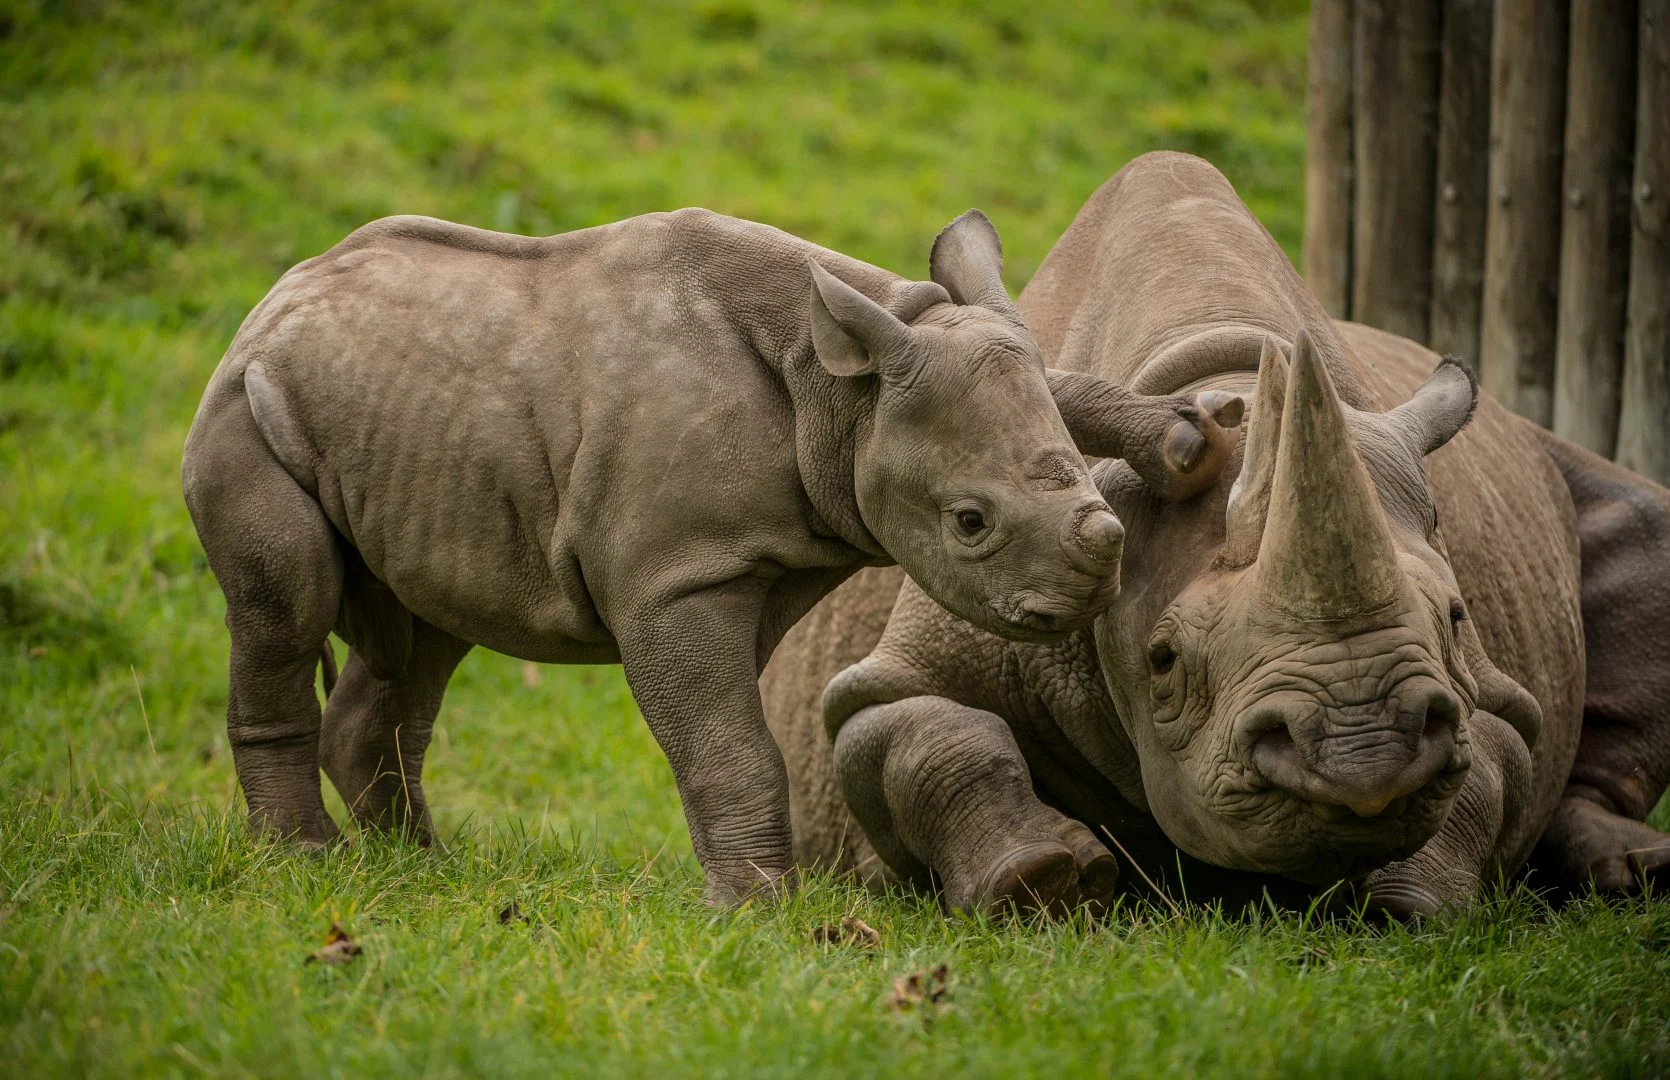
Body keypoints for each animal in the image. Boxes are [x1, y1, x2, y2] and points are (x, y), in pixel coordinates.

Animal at [182, 206, 1242, 901]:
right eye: (969, 523)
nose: (1092, 585)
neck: (838, 393)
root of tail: (272, 299)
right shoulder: (677, 576)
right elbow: (729, 744)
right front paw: (759, 911)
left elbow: (1055, 374)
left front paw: (1196, 442)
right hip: (245, 405)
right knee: (288, 602)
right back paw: (305, 862)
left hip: (406, 435)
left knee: (423, 636)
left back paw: (420, 868)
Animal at [764, 150, 1670, 914]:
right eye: (1163, 659)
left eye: (1456, 616)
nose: (1364, 757)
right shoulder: (923, 646)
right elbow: (925, 731)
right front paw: (1040, 883)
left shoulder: (1491, 685)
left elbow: (1491, 758)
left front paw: (1408, 903)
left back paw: (1632, 872)